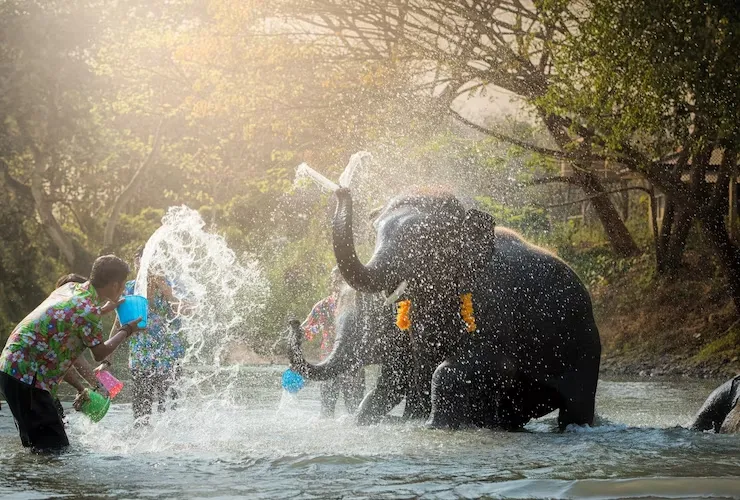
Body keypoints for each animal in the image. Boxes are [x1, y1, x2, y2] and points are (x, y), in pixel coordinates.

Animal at [330, 188, 600, 430]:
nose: (342, 191)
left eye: (423, 237)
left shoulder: (492, 304)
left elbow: (483, 365)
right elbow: (418, 366)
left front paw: (434, 426)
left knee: (575, 406)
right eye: (375, 231)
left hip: (584, 346)